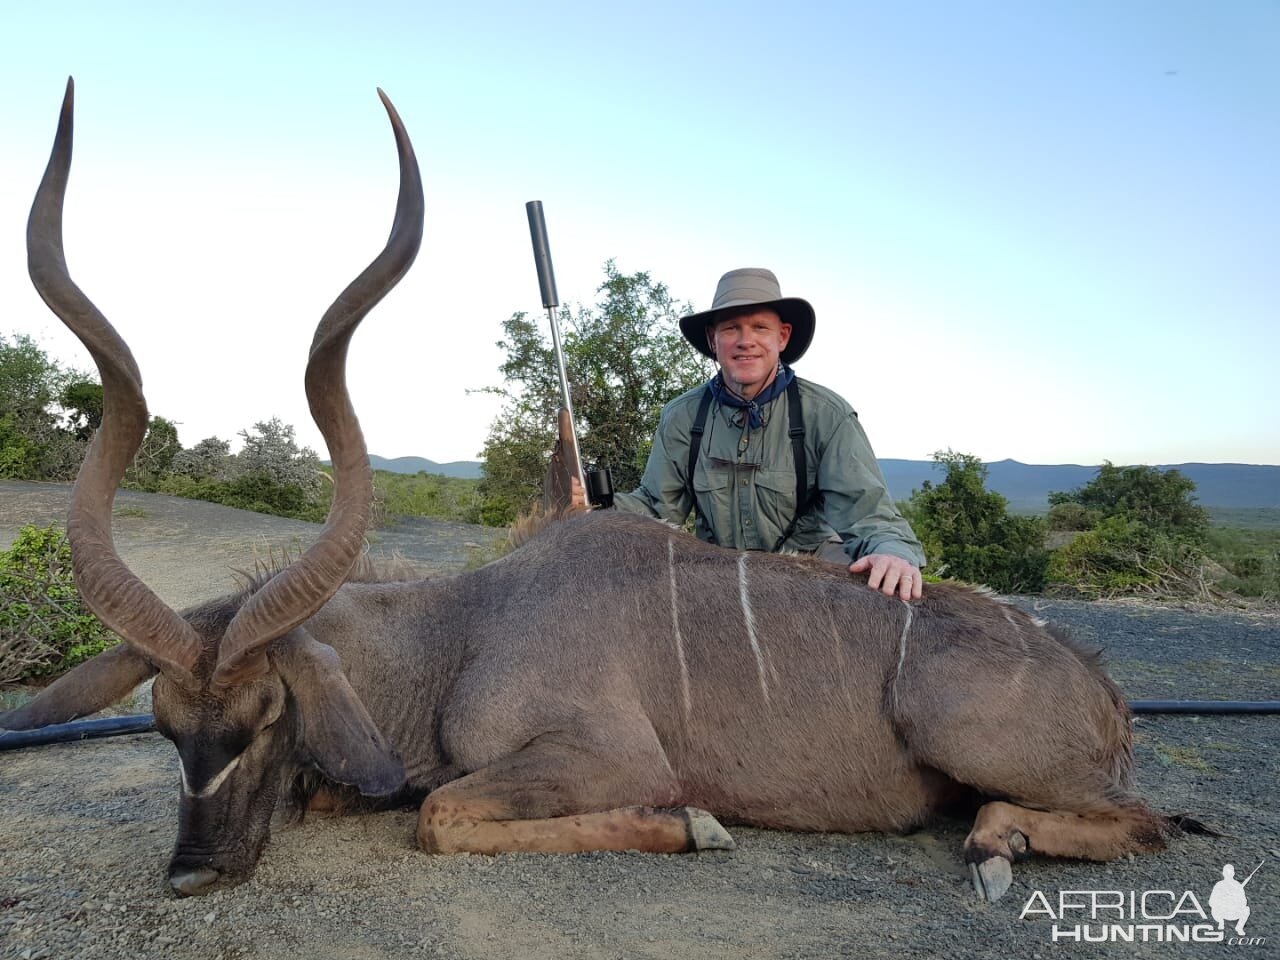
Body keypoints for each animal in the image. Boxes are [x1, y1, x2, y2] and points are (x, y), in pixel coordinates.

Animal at [2, 80, 1198, 901]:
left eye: (263, 717)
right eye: (165, 725)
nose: (192, 875)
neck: (459, 633)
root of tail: (1093, 680)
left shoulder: (603, 755)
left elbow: (440, 813)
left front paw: (694, 826)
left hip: (979, 744)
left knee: (1136, 818)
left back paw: (996, 842)